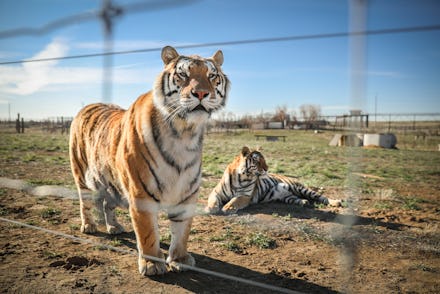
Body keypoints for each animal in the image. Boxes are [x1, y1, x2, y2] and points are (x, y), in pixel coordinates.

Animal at [69, 46, 230, 276]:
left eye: (211, 76)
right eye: (183, 74)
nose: (200, 93)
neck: (184, 133)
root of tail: (87, 105)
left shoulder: (187, 193)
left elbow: (182, 231)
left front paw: (180, 259)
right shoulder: (140, 192)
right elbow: (147, 232)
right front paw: (152, 264)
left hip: (111, 181)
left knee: (108, 204)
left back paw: (114, 227)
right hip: (81, 173)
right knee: (86, 202)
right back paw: (89, 226)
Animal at [205, 147, 342, 214]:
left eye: (264, 160)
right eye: (258, 161)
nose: (267, 168)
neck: (241, 176)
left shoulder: (245, 196)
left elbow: (235, 200)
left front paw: (227, 208)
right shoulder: (216, 192)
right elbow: (212, 200)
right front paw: (210, 208)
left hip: (300, 188)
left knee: (321, 197)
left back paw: (336, 202)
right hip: (287, 196)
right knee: (297, 198)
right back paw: (304, 202)